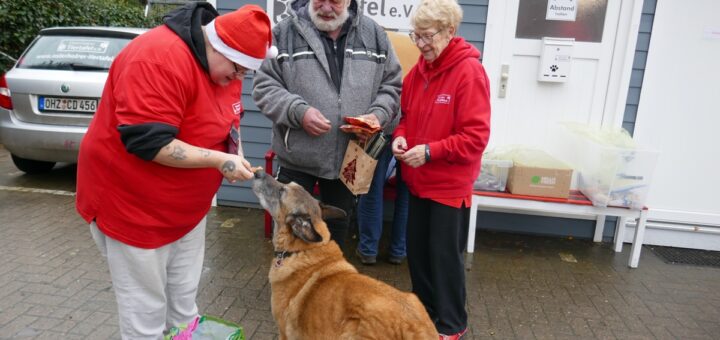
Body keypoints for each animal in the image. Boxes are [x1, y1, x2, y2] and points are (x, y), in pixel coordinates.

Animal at [250, 171, 436, 338]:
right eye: (287, 183)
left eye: (282, 191)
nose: (258, 173)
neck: (301, 250)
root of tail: (415, 327)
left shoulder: (284, 333)